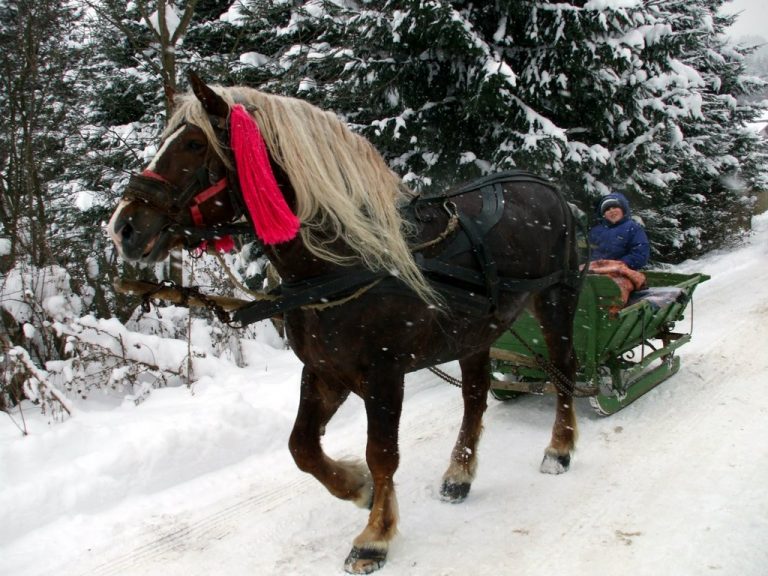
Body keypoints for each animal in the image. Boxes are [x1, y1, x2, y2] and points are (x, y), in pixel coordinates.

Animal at [106, 73, 576, 572]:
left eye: (194, 144)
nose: (123, 228)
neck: (341, 263)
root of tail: (544, 183)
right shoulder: (325, 370)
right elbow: (302, 447)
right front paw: (357, 488)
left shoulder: (384, 374)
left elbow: (382, 454)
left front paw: (375, 536)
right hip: (473, 333)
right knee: (475, 396)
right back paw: (459, 474)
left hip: (557, 300)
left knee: (564, 370)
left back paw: (560, 448)